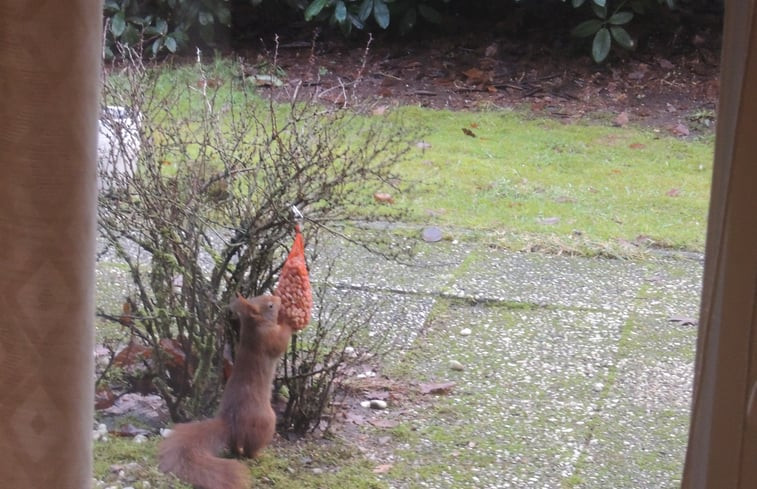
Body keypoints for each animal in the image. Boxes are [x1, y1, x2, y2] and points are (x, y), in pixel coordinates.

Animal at [157, 294, 292, 488]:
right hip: (266, 423)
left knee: (236, 447)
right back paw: (258, 455)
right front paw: (289, 321)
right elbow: (280, 343)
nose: (279, 298)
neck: (253, 328)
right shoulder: (267, 339)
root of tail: (230, 422)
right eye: (270, 305)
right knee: (249, 450)